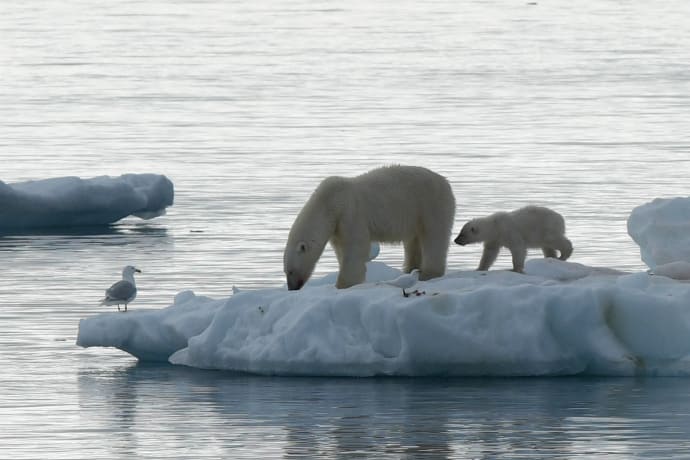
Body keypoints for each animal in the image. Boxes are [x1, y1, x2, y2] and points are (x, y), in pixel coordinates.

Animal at [283, 165, 456, 290]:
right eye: (286, 271)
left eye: (291, 271)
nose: (292, 288)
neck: (329, 203)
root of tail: (445, 182)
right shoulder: (336, 227)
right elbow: (341, 250)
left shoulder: (350, 214)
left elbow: (355, 248)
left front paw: (344, 284)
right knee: (414, 242)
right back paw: (410, 270)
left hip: (430, 204)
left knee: (434, 237)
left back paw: (429, 274)